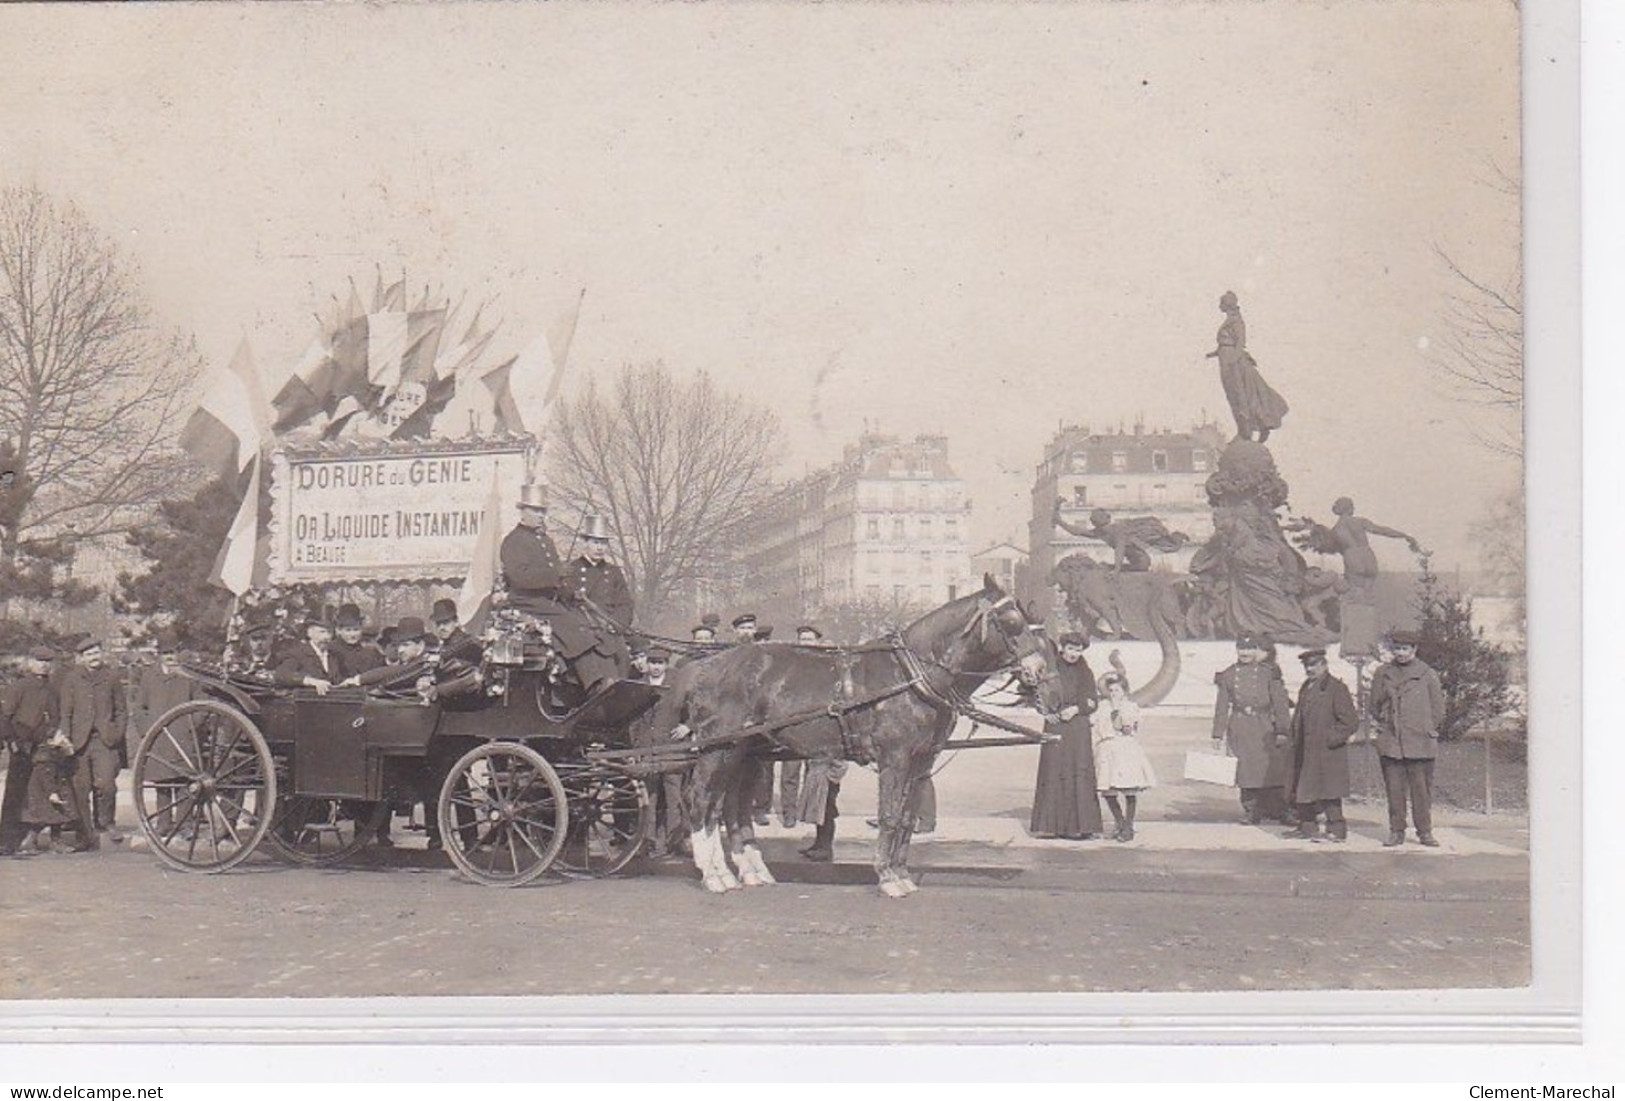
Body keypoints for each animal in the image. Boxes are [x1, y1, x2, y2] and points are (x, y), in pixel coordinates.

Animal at [643, 578, 1053, 896]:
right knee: (700, 800)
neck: (911, 674)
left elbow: (907, 817)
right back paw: (714, 873)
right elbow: (890, 814)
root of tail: (704, 666)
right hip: (718, 749)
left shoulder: (922, 760)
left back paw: (747, 870)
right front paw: (887, 877)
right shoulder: (895, 758)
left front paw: (901, 873)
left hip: (744, 750)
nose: (1040, 671)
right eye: (1012, 620)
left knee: (729, 805)